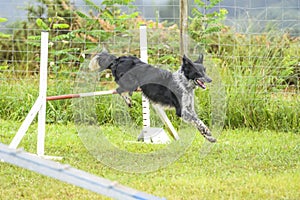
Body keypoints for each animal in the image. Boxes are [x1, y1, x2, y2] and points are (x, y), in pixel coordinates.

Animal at [88, 50, 217, 143]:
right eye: (198, 72)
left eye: (205, 71)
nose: (210, 79)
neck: (183, 83)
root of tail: (118, 59)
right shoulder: (181, 111)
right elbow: (197, 121)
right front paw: (207, 131)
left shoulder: (189, 108)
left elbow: (198, 122)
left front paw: (209, 137)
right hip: (130, 83)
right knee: (119, 90)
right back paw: (128, 100)